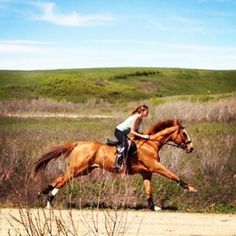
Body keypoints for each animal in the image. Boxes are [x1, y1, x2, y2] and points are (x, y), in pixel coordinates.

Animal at [32, 120, 196, 210]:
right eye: (184, 134)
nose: (191, 148)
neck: (151, 144)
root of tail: (79, 143)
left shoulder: (146, 173)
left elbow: (149, 191)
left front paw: (153, 207)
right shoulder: (155, 167)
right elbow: (173, 175)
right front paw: (191, 188)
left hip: (84, 170)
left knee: (60, 179)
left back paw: (46, 193)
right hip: (77, 168)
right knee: (61, 180)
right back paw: (49, 201)